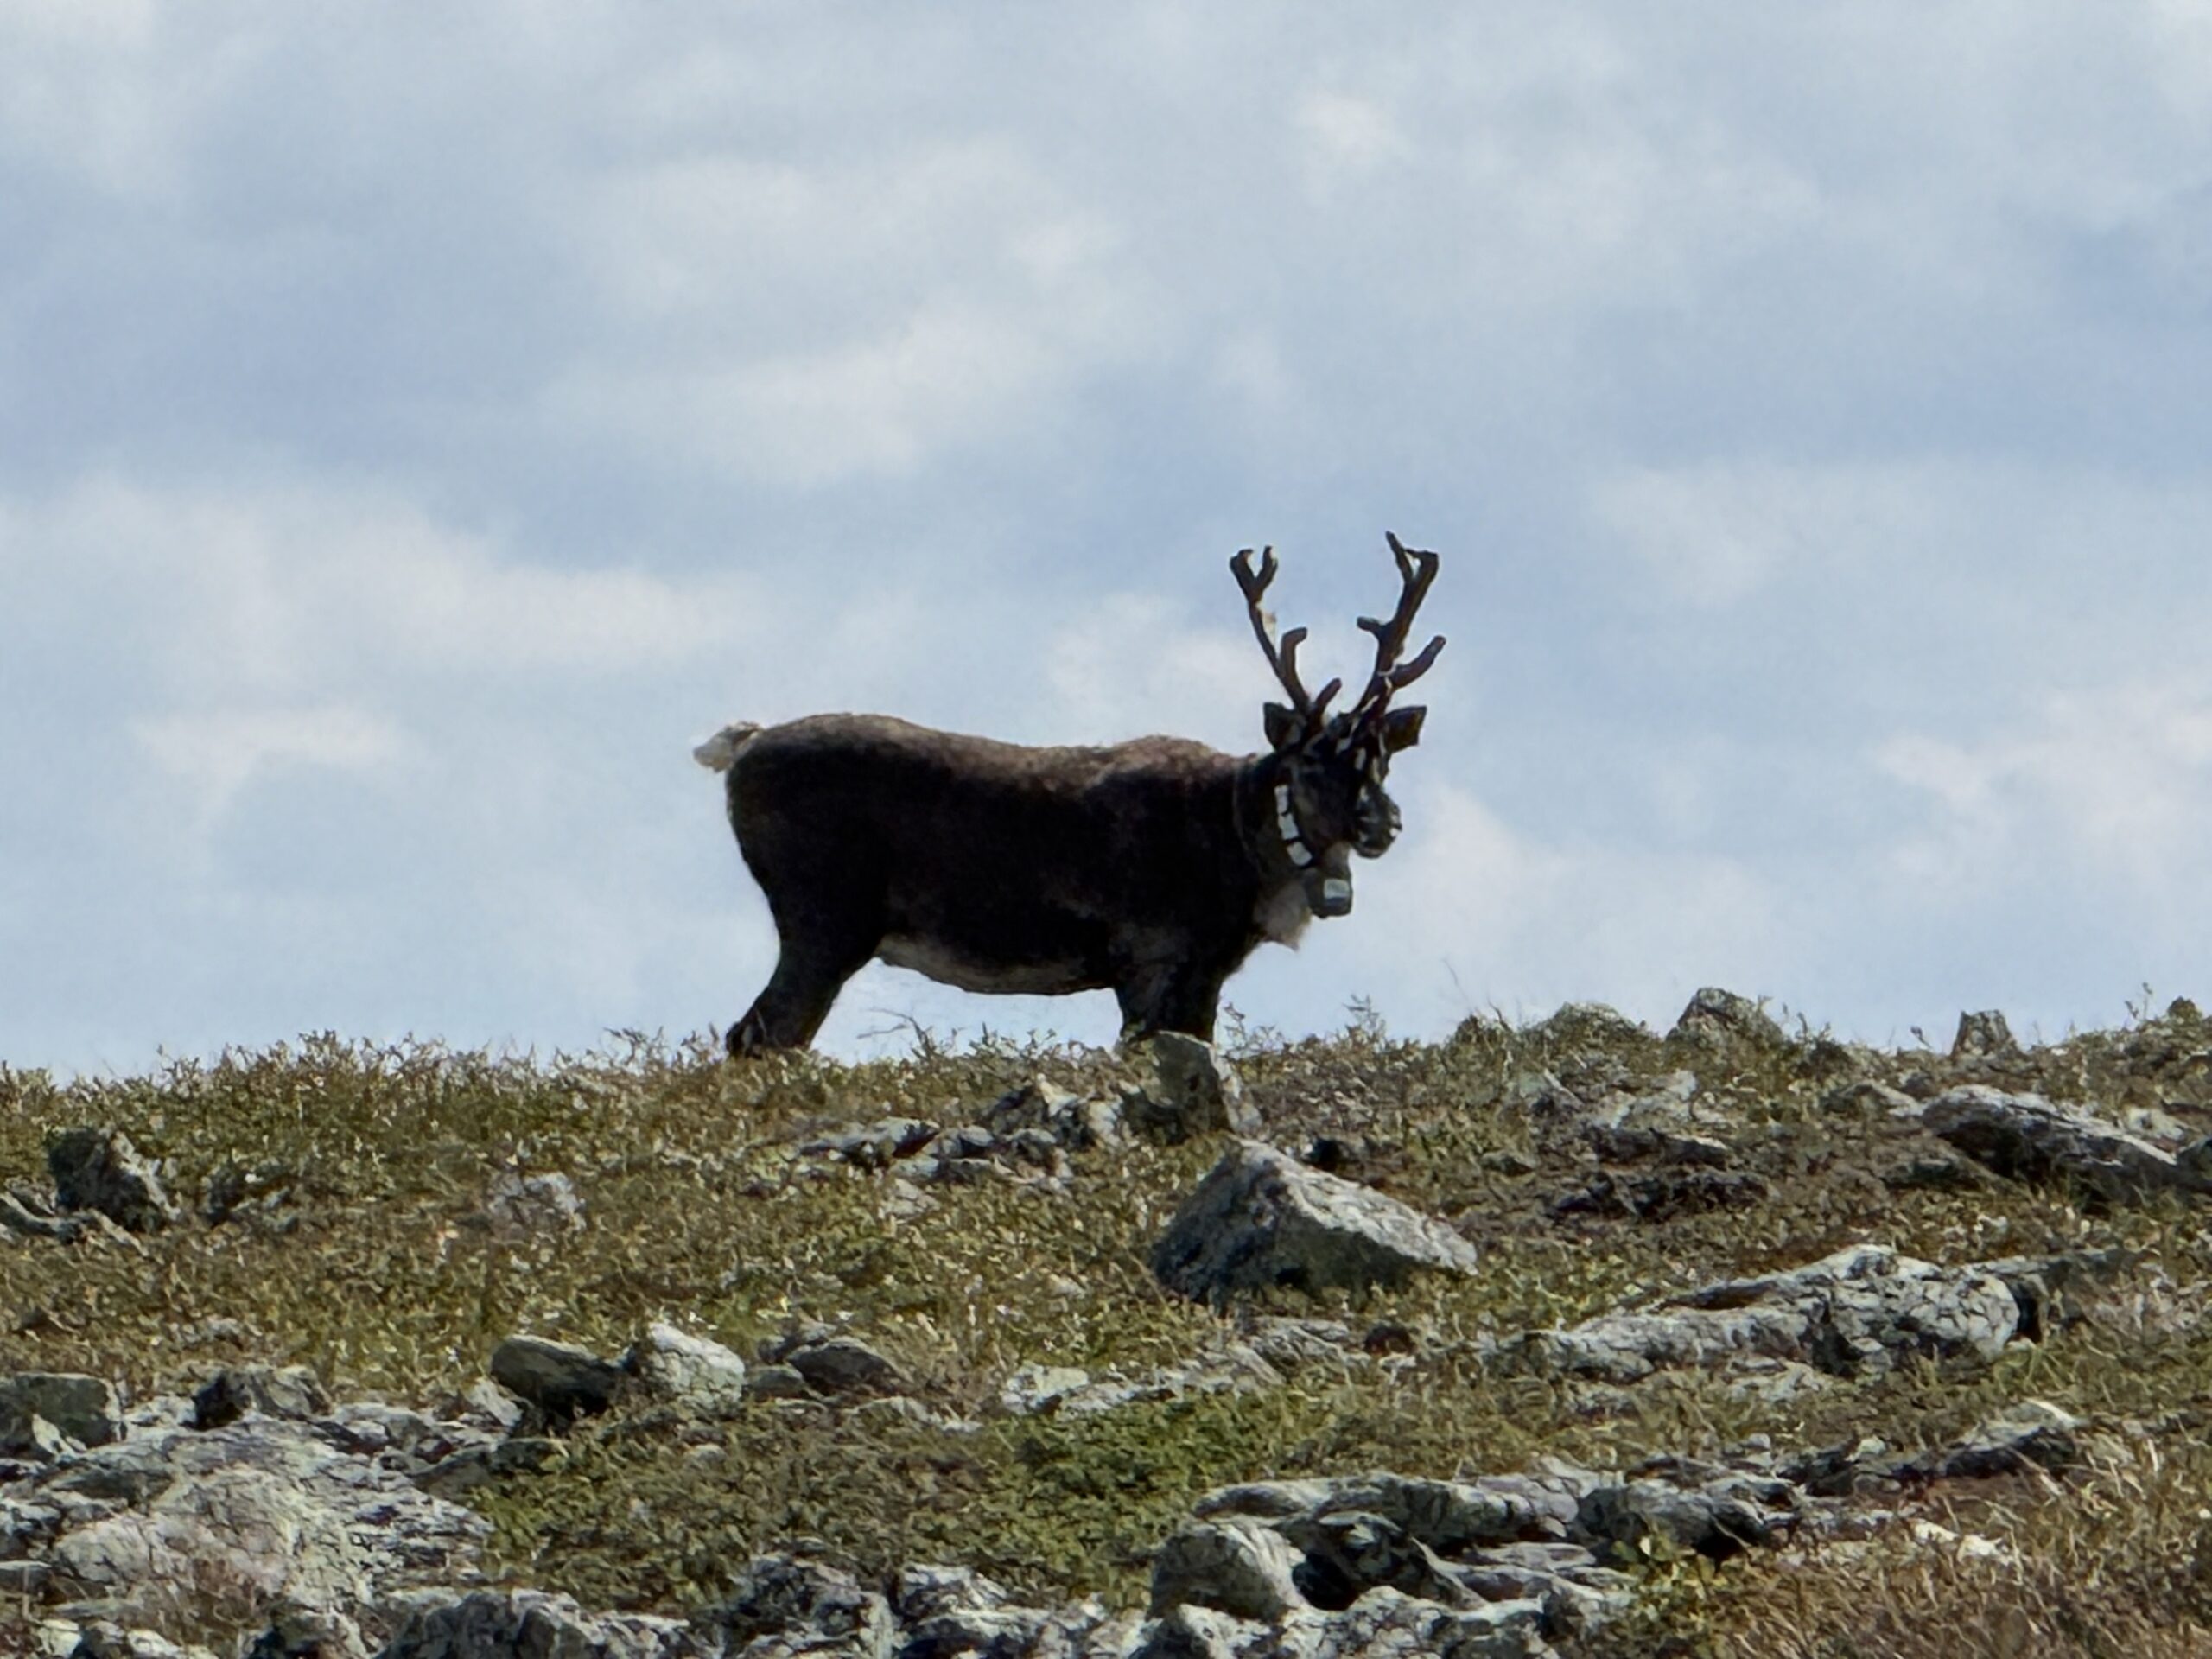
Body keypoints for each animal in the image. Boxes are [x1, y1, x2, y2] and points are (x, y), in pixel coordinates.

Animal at [695, 534, 1446, 1053]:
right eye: (1314, 757)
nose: (1382, 823)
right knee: (757, 1035)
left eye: (1384, 759)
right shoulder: (1151, 956)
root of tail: (742, 747)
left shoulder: (1204, 972)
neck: (1239, 845)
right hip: (826, 916)